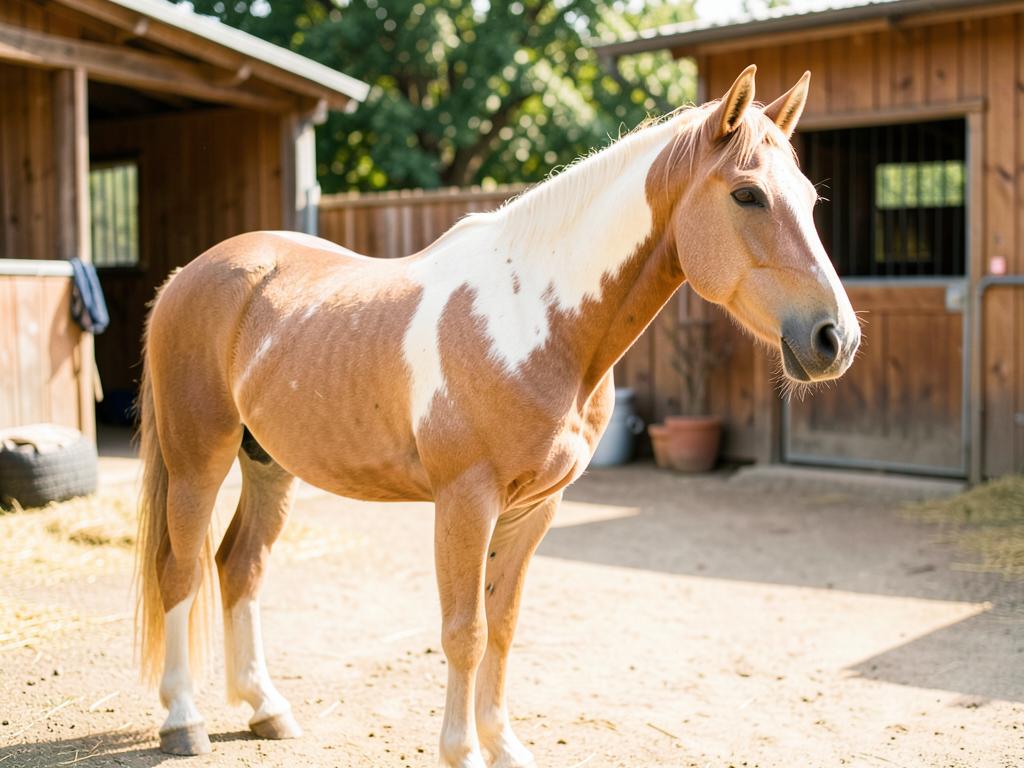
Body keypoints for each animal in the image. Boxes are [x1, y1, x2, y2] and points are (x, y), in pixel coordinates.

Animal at [134, 65, 859, 767]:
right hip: (198, 461)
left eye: (811, 199)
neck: (531, 322)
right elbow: (465, 631)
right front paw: (461, 751)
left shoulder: (535, 508)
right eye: (747, 195)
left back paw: (266, 709)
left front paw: (503, 744)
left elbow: (503, 626)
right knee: (179, 570)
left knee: (239, 568)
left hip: (269, 466)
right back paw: (183, 721)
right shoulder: (465, 502)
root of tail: (188, 276)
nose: (836, 339)